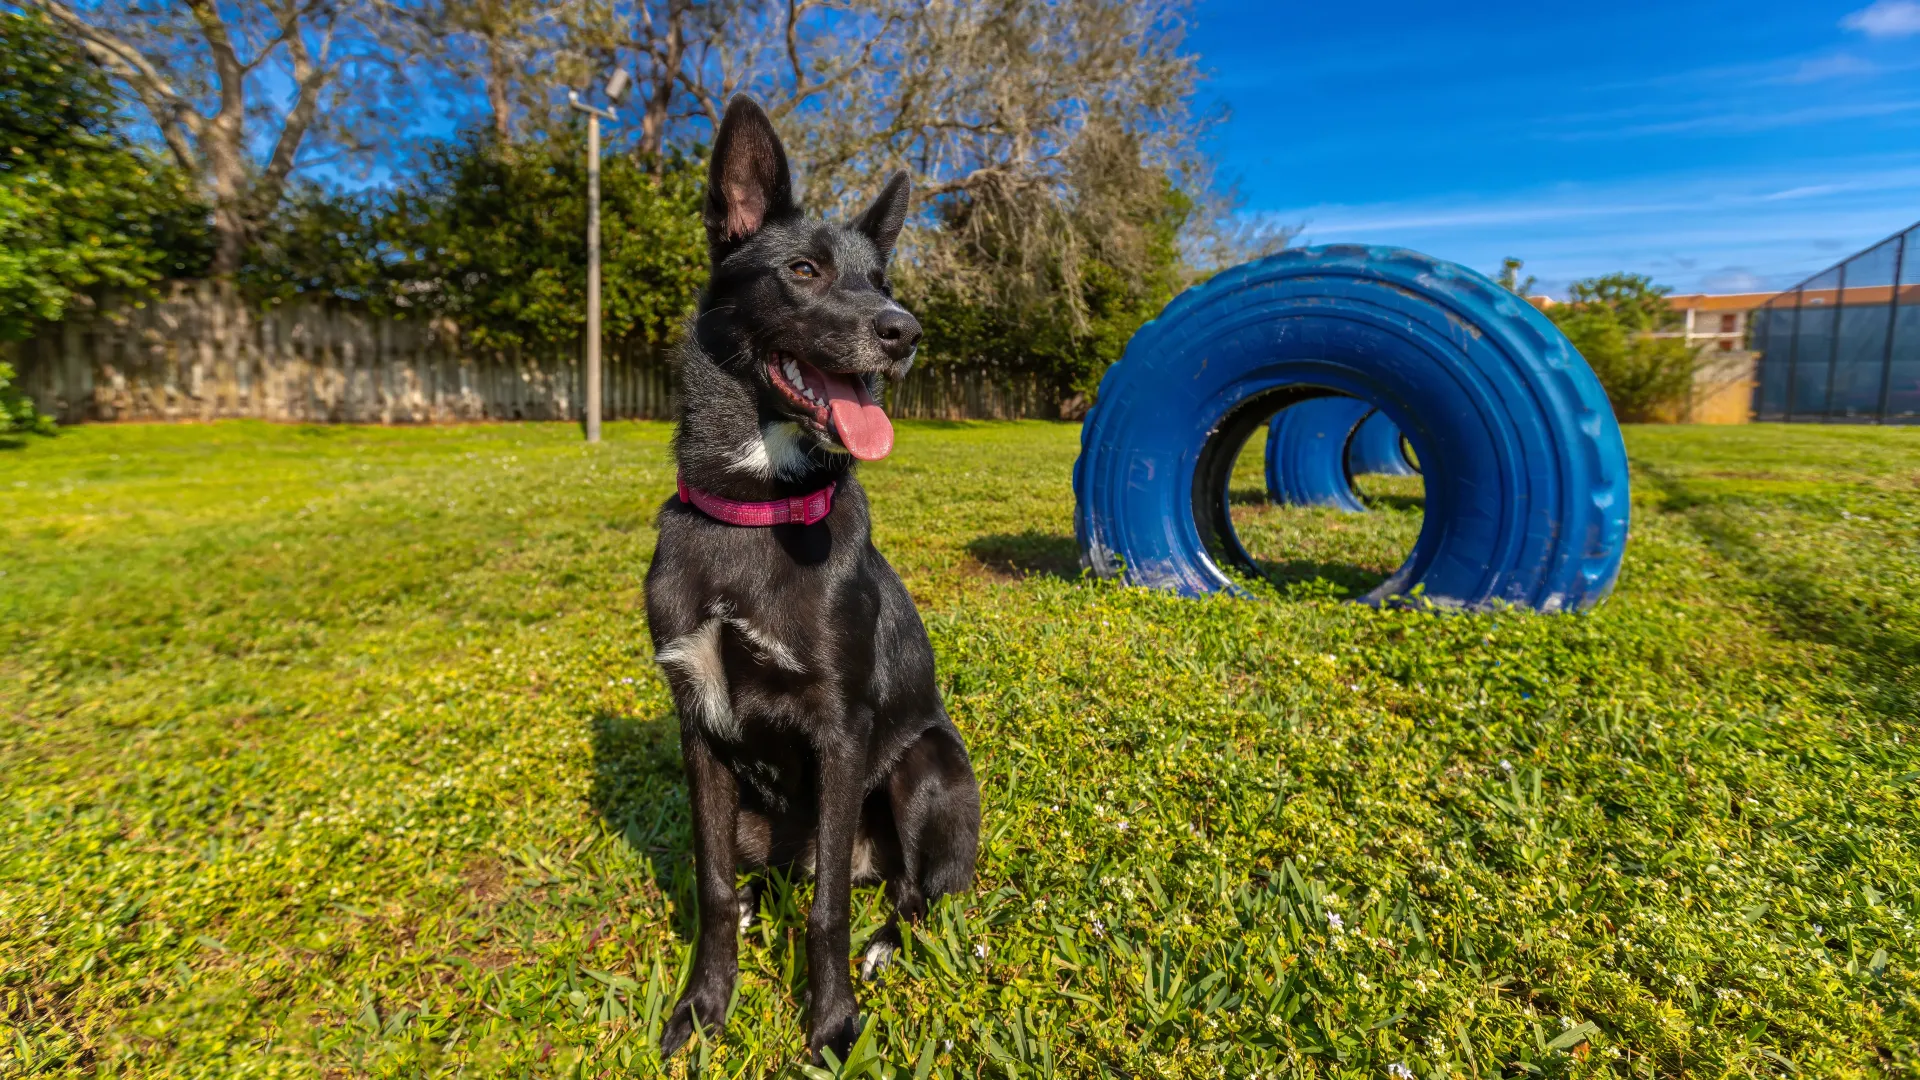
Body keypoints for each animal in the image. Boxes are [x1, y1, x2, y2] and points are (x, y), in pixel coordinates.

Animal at [645, 96, 983, 1053]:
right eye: (803, 270)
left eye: (883, 280)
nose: (904, 332)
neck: (757, 509)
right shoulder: (699, 725)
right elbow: (711, 884)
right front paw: (703, 1006)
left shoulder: (839, 733)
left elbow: (828, 908)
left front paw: (832, 1025)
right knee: (773, 877)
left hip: (926, 771)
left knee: (909, 893)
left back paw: (885, 944)